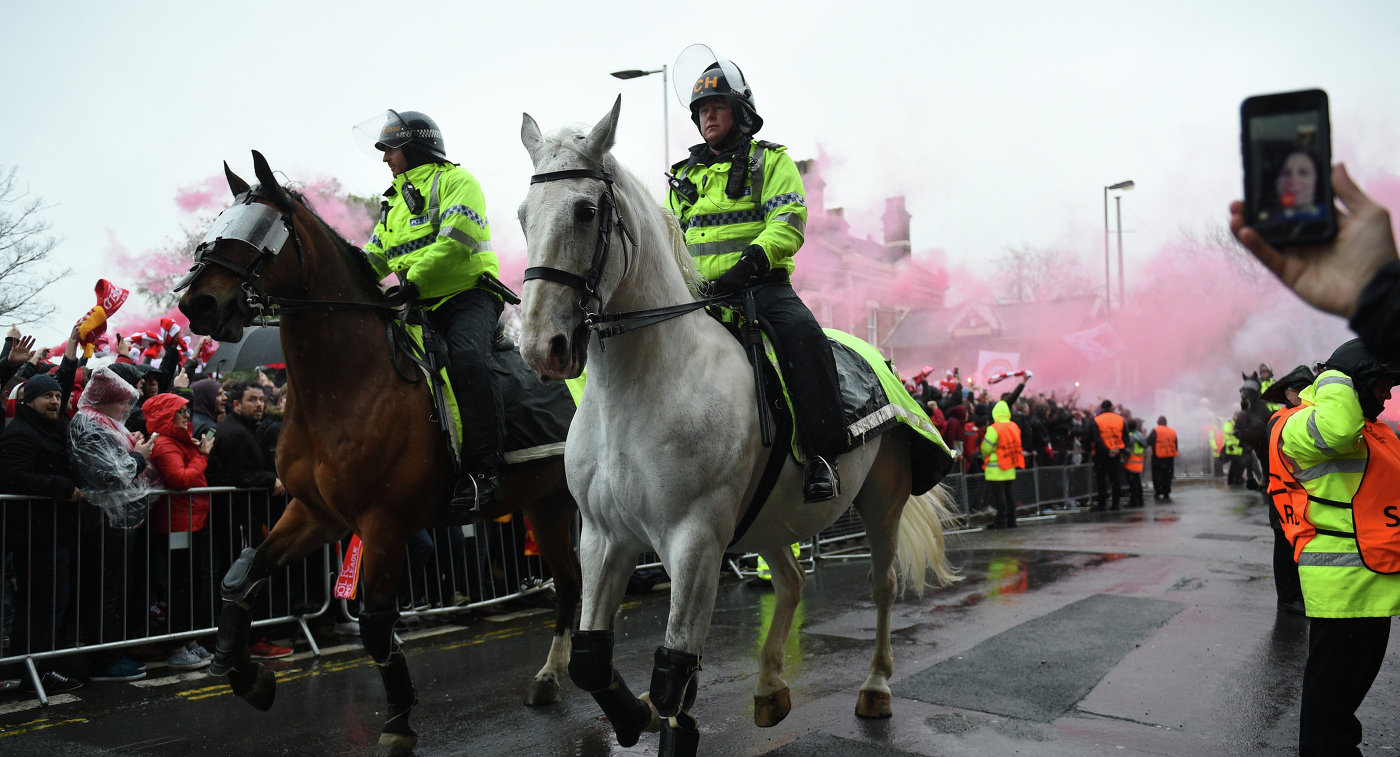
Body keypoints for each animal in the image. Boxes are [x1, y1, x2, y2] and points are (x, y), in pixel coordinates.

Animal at [179, 150, 579, 750]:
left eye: (260, 230)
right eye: (218, 224)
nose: (197, 303)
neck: (346, 387)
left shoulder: (383, 523)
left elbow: (374, 625)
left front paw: (397, 722)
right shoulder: (315, 513)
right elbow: (243, 573)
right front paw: (246, 673)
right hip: (548, 501)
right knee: (571, 584)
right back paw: (552, 676)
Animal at [518, 100, 963, 755]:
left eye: (585, 210)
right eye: (523, 215)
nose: (539, 346)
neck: (640, 391)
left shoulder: (694, 539)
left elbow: (674, 668)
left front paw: (663, 718)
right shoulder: (604, 537)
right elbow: (593, 661)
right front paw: (636, 713)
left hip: (882, 499)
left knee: (881, 585)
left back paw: (875, 688)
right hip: (773, 518)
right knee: (792, 581)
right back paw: (770, 686)